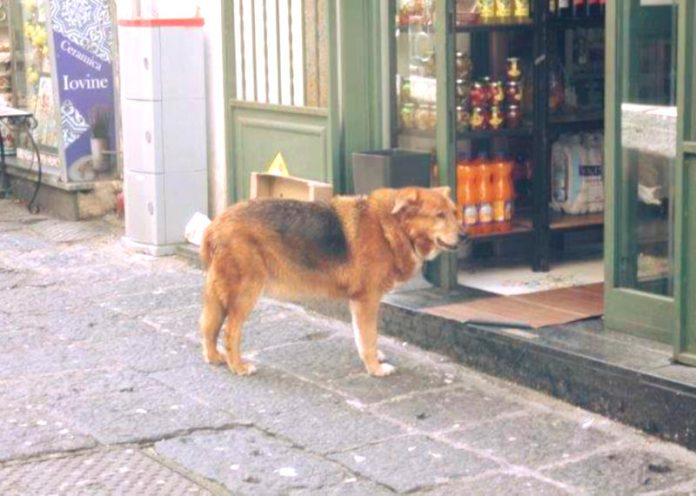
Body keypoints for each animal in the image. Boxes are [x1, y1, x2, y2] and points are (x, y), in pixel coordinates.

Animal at [198, 186, 460, 376]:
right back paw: (238, 366)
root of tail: (215, 225)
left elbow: (362, 337)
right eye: (439, 215)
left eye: (455, 213)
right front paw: (375, 368)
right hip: (246, 294)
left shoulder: (358, 302)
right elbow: (369, 337)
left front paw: (372, 358)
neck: (390, 226)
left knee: (209, 327)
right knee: (230, 332)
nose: (465, 236)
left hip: (221, 294)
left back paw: (215, 357)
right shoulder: (367, 300)